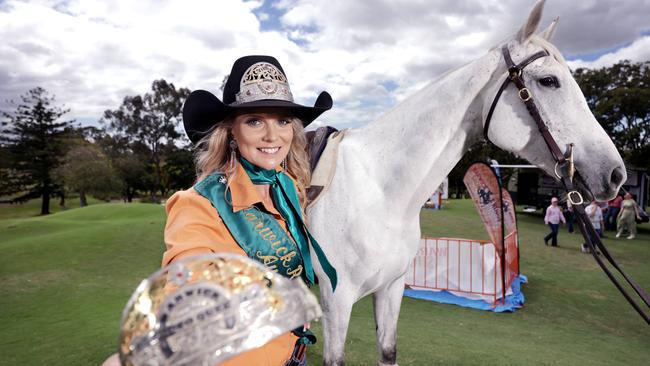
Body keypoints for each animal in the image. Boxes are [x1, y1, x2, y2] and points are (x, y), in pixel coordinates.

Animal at [306, 1, 624, 364]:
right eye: (548, 80)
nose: (615, 173)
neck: (379, 190)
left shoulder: (390, 289)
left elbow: (388, 350)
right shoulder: (337, 304)